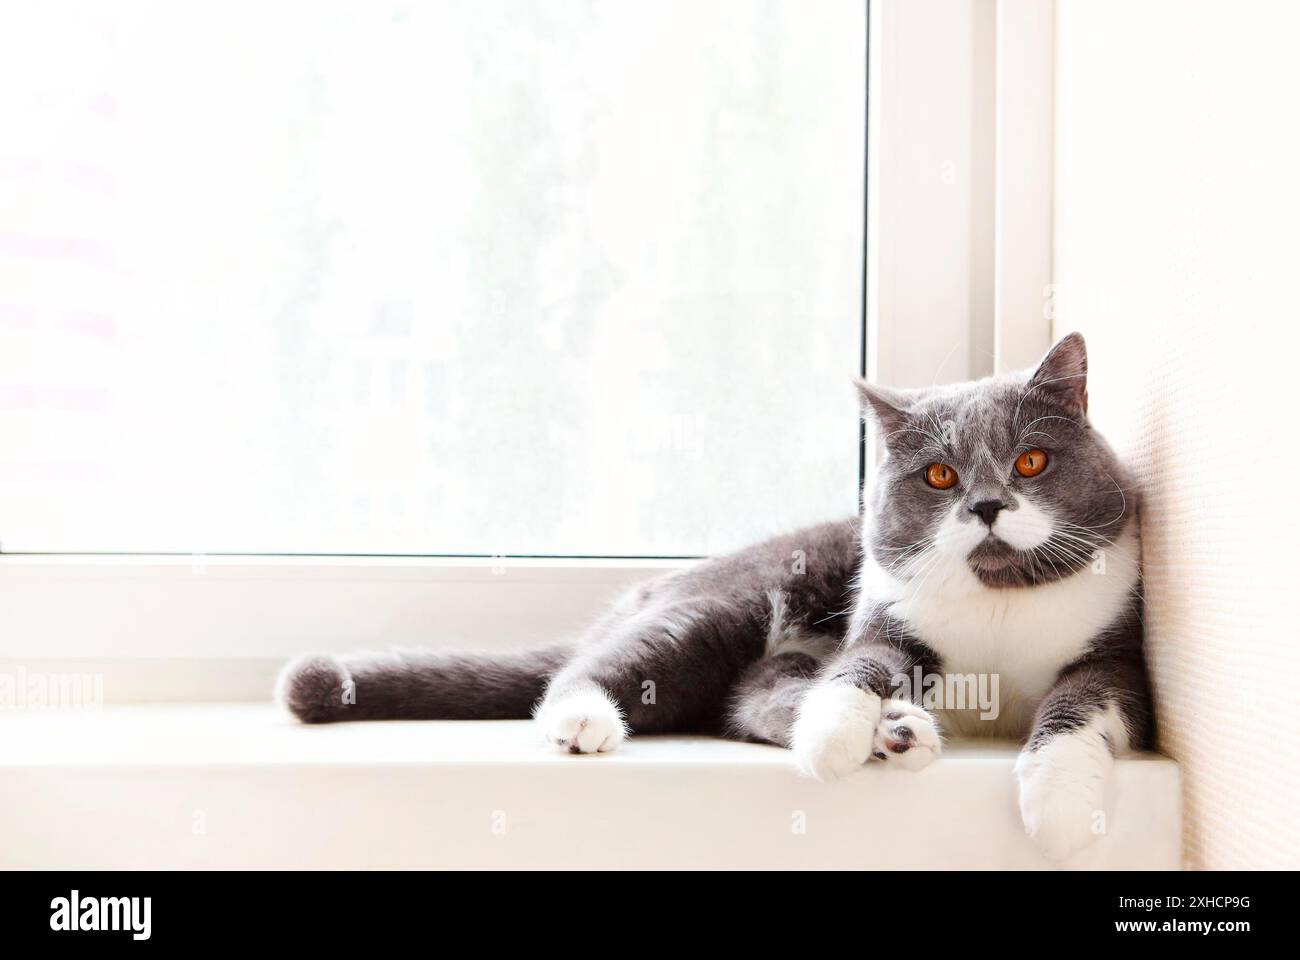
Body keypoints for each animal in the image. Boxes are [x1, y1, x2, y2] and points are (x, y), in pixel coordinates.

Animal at [279, 330, 1154, 858]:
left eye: (1032, 461)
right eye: (940, 475)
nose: (987, 506)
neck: (1001, 597)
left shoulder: (1119, 653)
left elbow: (1080, 702)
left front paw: (1060, 808)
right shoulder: (885, 619)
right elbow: (857, 667)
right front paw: (836, 734)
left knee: (752, 695)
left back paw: (899, 734)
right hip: (730, 603)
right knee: (604, 673)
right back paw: (587, 721)